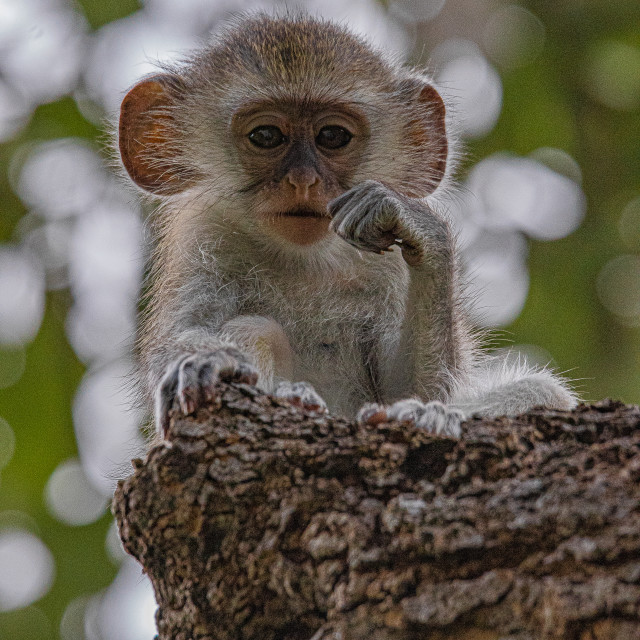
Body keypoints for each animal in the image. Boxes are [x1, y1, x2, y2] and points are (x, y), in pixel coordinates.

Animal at [117, 13, 576, 440]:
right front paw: (209, 360)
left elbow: (411, 388)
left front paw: (417, 228)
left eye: (332, 136)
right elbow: (175, 353)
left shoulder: (385, 262)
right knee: (255, 327)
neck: (304, 262)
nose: (303, 180)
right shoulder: (203, 237)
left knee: (543, 392)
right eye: (266, 135)